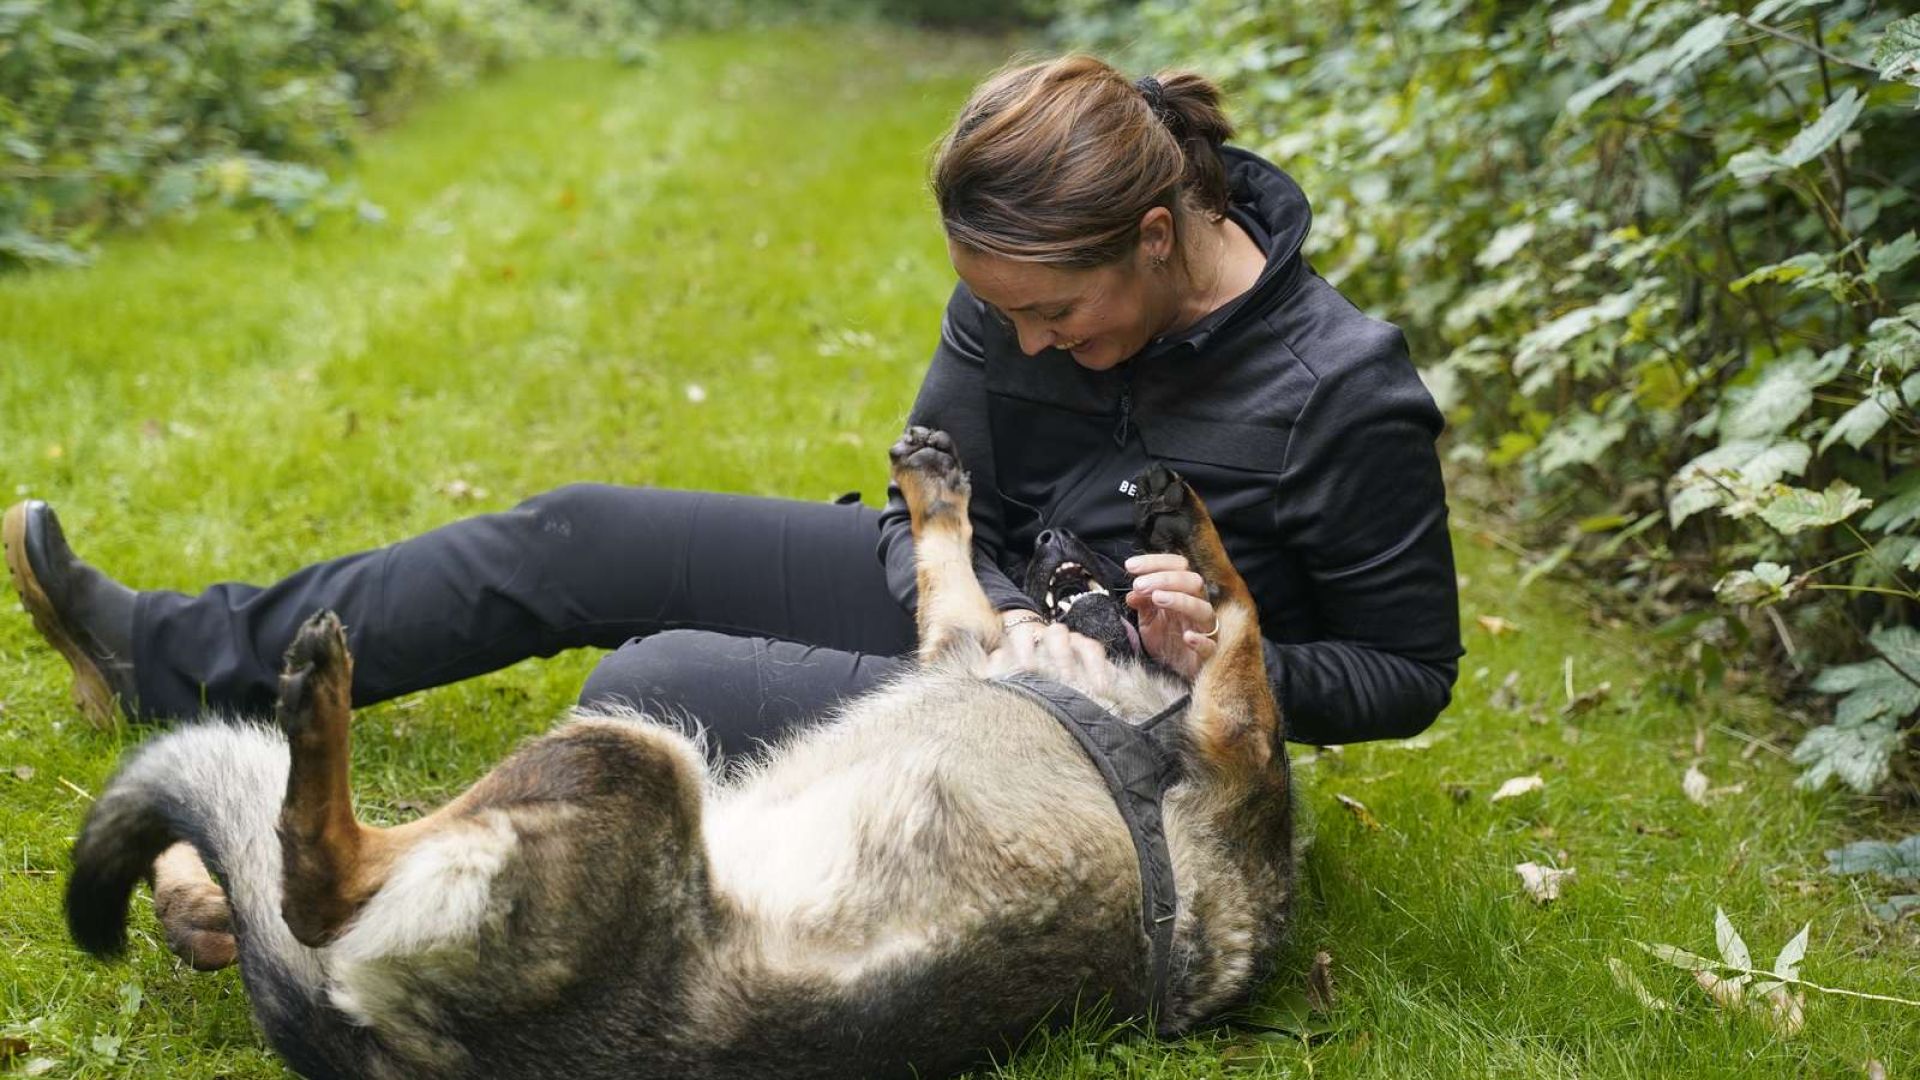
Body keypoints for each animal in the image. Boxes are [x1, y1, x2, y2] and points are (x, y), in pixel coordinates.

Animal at [63, 428, 1290, 1076]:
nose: (1046, 534)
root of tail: (398, 1048)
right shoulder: (963, 641)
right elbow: (951, 568)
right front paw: (936, 488)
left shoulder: (1234, 725)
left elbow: (1240, 602)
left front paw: (1189, 526)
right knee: (284, 880)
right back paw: (197, 876)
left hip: (631, 755)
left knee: (316, 881)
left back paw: (314, 710)